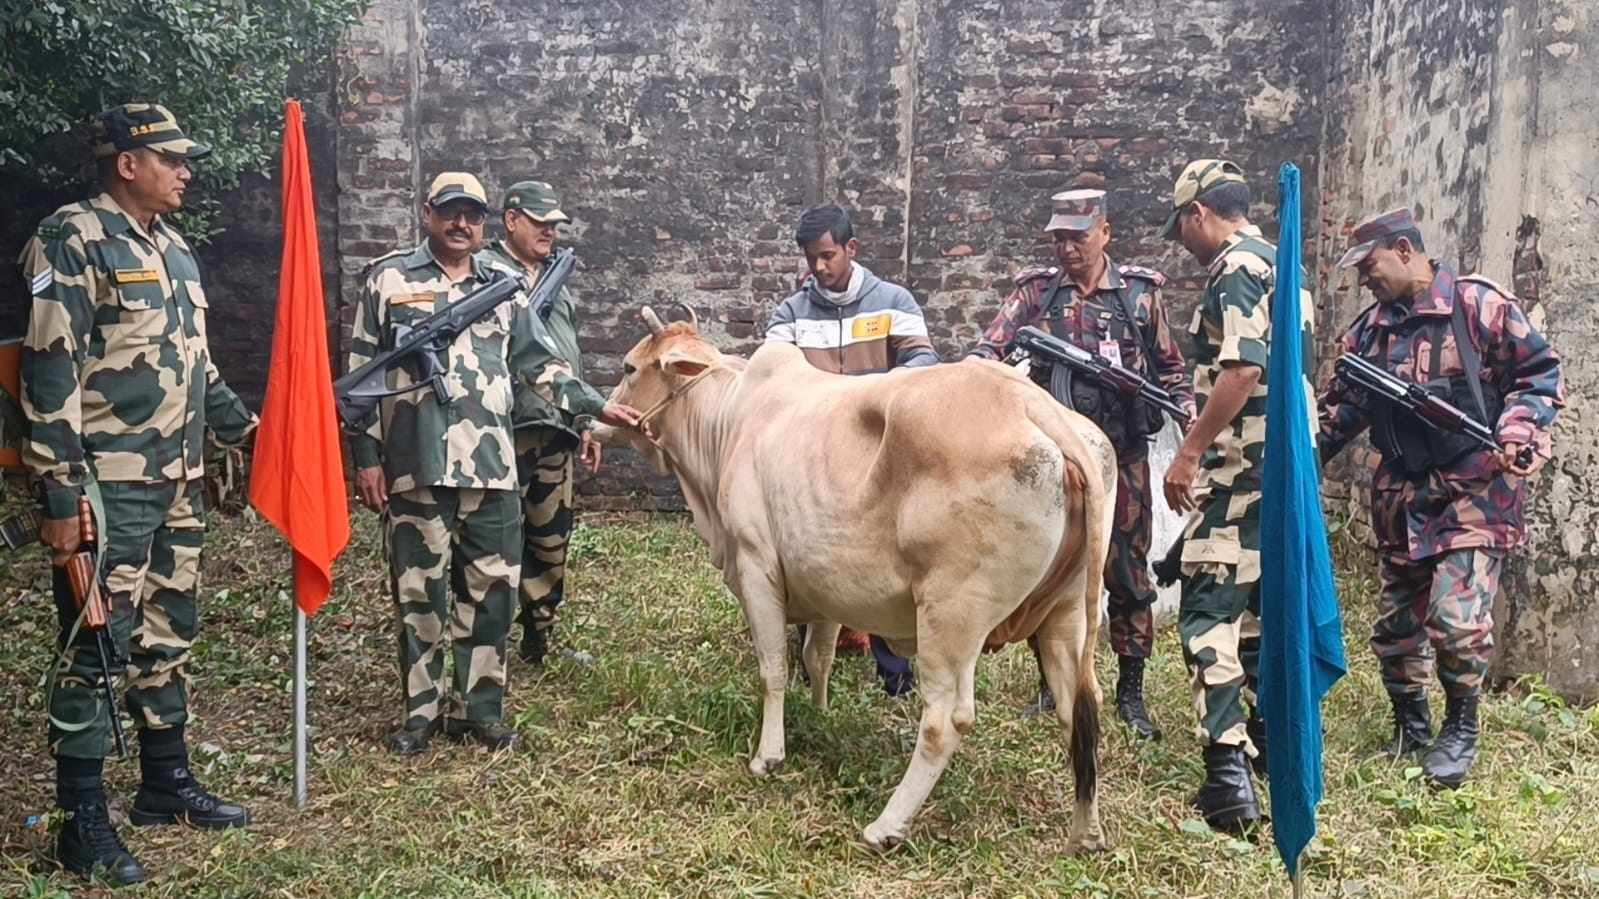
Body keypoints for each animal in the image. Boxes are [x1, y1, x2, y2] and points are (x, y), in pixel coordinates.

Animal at [601, 307, 1112, 844]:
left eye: (629, 368)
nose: (600, 418)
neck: (727, 420)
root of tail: (1033, 404)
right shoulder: (822, 584)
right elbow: (817, 657)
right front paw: (820, 713)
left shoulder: (756, 567)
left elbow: (773, 669)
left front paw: (768, 756)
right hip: (1067, 614)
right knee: (1079, 708)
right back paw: (1086, 832)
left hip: (952, 616)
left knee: (945, 721)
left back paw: (886, 825)